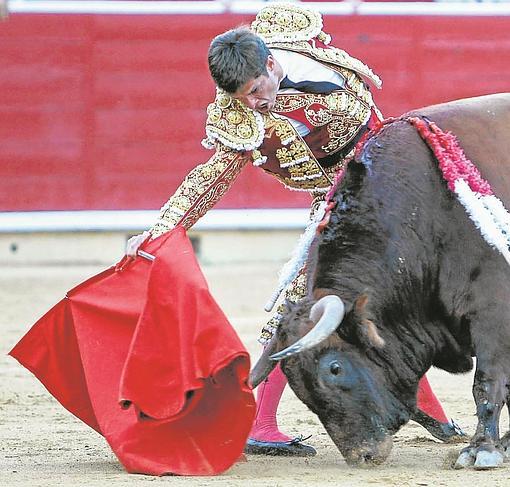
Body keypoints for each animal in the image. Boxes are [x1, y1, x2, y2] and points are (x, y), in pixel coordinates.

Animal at [251, 94, 510, 468]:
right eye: (296, 384)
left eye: (334, 368)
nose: (362, 455)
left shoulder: (492, 313)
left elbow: (487, 382)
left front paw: (483, 449)